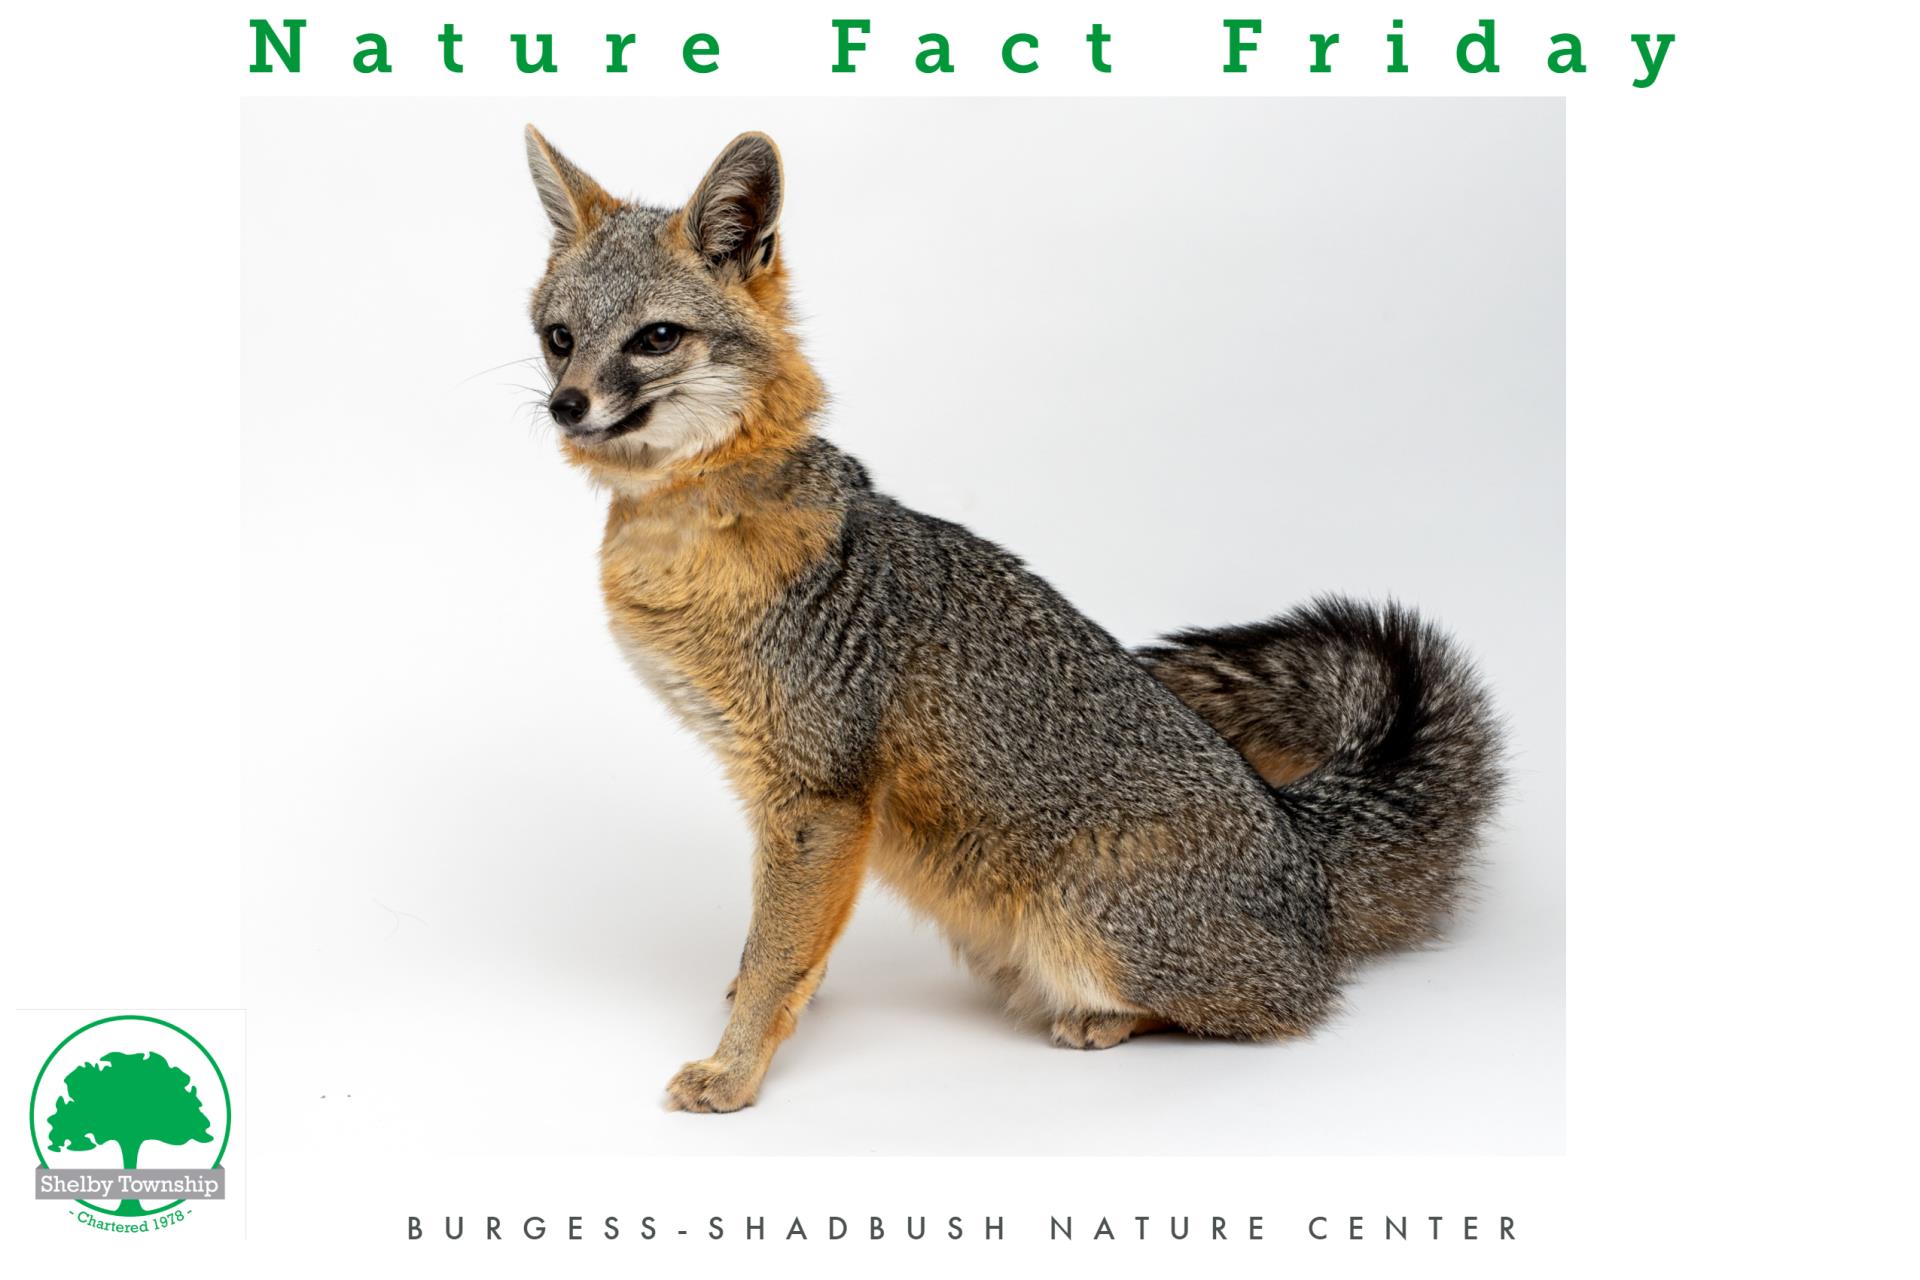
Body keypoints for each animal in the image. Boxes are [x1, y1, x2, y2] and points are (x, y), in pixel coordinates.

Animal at [521, 127, 1505, 1112]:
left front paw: (735, 1068)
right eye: (559, 339)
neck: (690, 532)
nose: (566, 406)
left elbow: (778, 951)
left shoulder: (819, 792)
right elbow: (791, 941)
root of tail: (1299, 844)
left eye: (655, 338)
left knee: (1281, 1007)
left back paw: (1105, 1019)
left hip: (1084, 926)